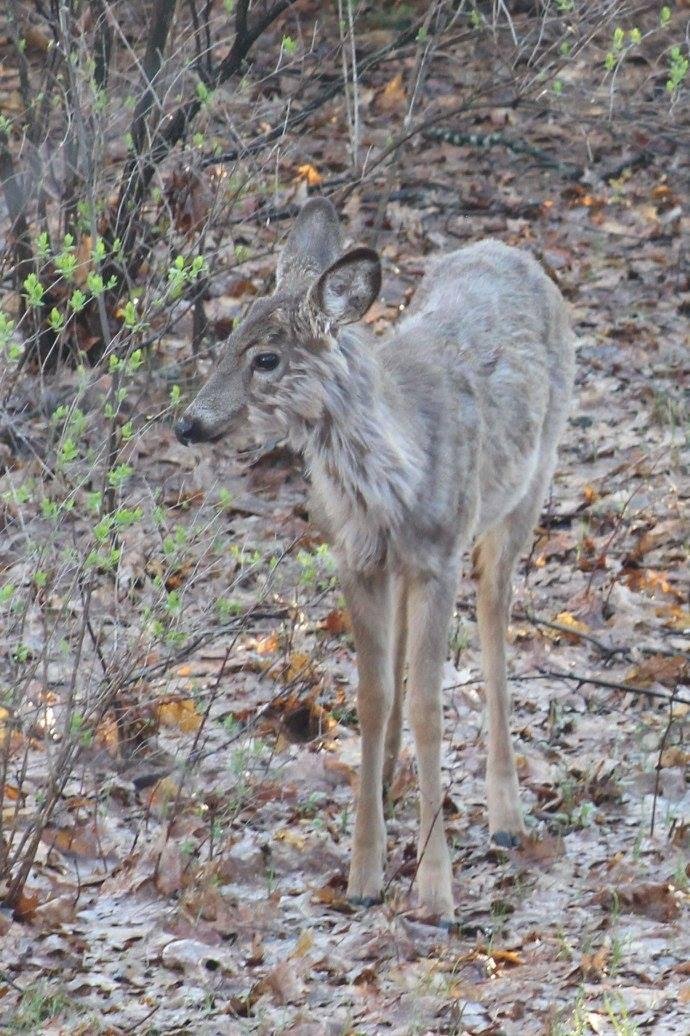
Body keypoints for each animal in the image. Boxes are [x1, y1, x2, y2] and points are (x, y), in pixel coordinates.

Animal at [174, 196, 575, 923]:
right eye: (224, 341)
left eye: (267, 358)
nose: (188, 423)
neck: (393, 477)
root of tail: (508, 249)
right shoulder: (355, 559)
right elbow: (371, 695)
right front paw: (364, 872)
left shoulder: (439, 554)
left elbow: (427, 704)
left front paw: (436, 891)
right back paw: (390, 787)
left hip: (527, 486)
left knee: (496, 622)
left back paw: (507, 816)